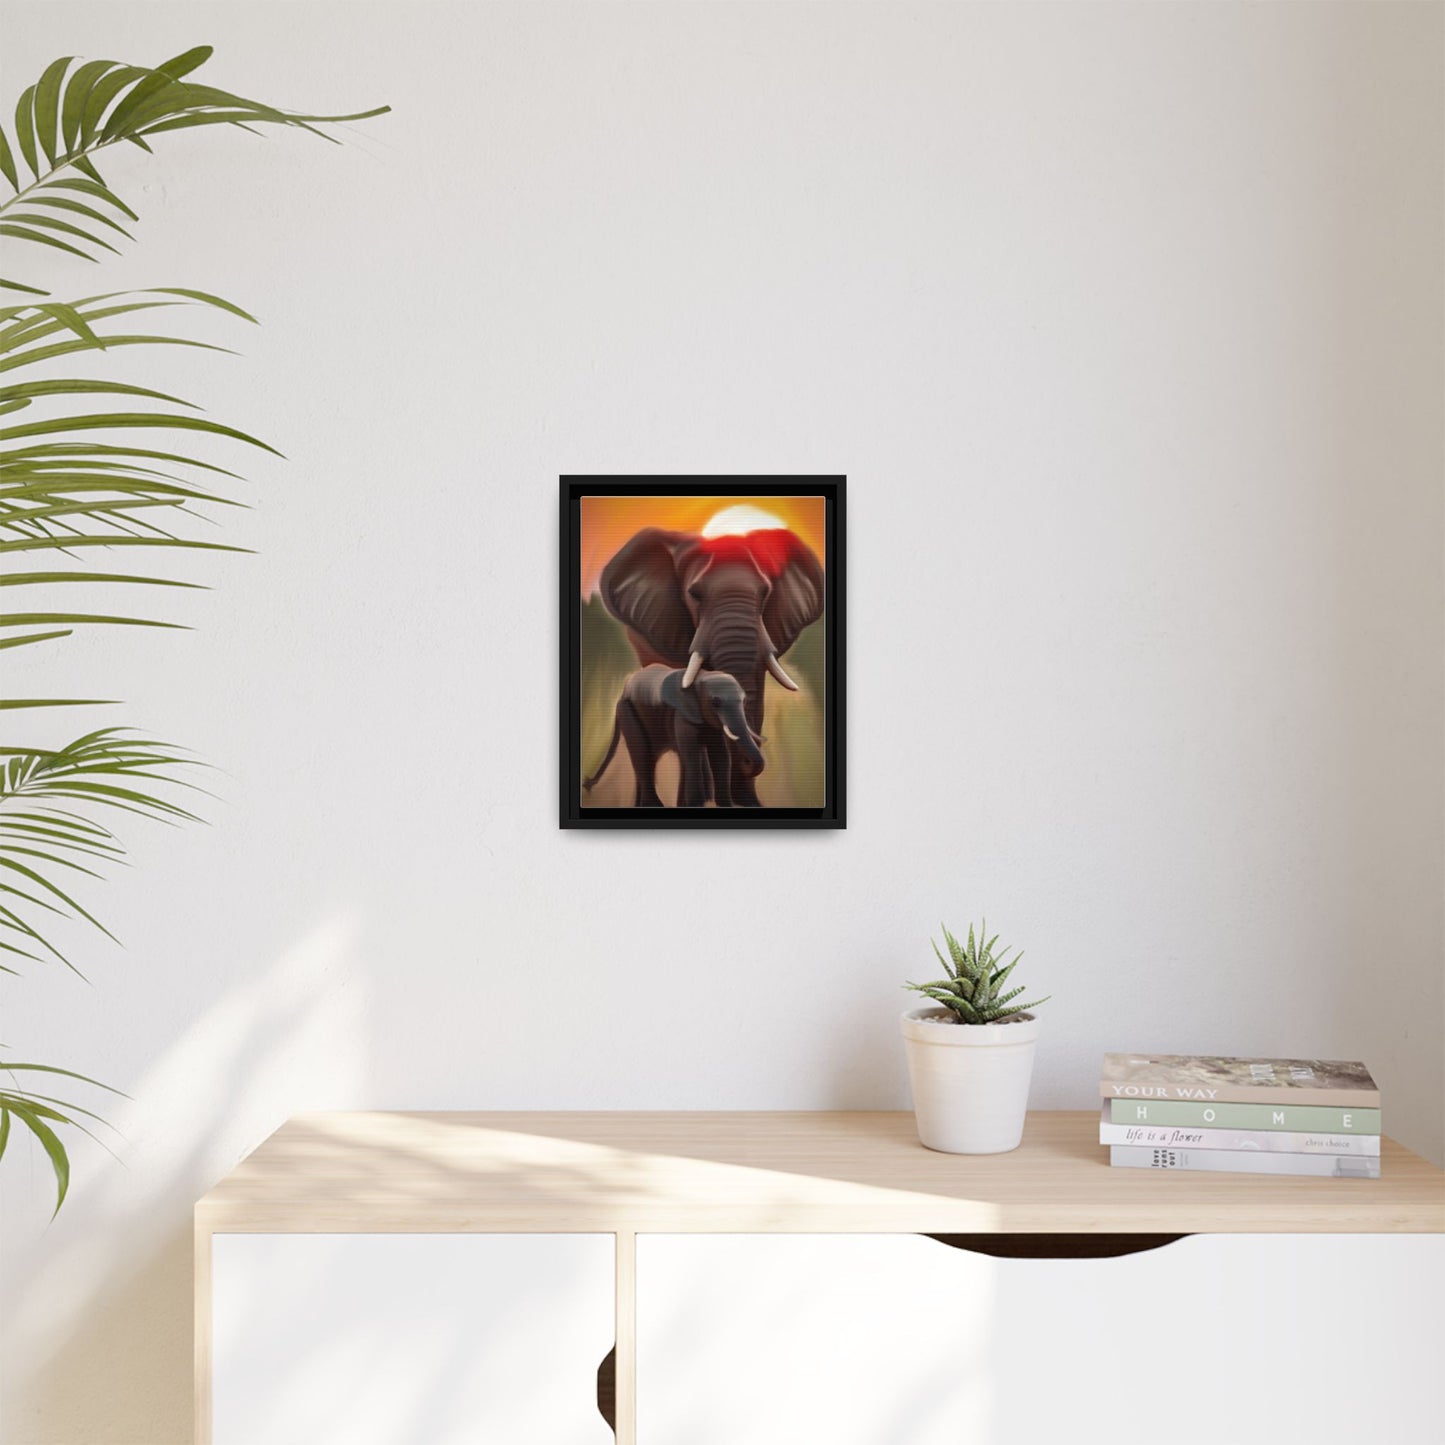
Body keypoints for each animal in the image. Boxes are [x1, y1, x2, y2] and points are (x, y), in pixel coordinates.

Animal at [583, 664, 765, 808]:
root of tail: (625, 688)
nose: (746, 761)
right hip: (627, 710)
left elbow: (721, 757)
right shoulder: (682, 714)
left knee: (651, 759)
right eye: (716, 702)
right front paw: (696, 805)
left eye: (744, 701)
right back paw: (654, 806)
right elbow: (692, 756)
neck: (701, 676)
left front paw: (724, 805)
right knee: (642, 754)